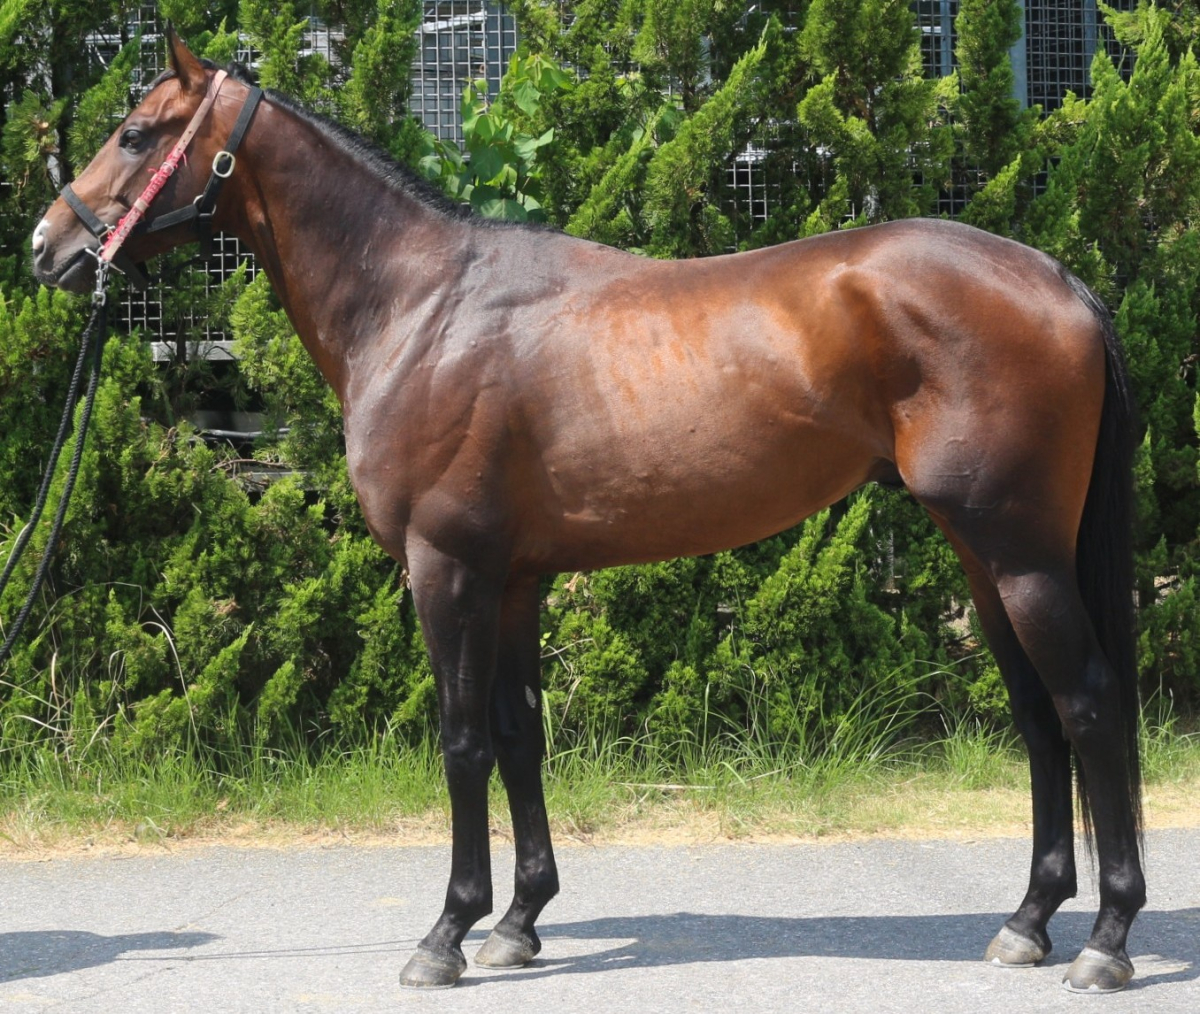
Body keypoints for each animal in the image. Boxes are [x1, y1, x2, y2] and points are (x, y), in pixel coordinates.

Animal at [30, 30, 1144, 994]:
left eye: (137, 130)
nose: (47, 245)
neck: (423, 309)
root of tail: (1059, 281)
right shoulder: (514, 579)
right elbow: (521, 735)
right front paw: (519, 923)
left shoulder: (446, 569)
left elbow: (463, 742)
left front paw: (446, 933)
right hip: (984, 555)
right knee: (1040, 716)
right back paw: (1028, 923)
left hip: (1019, 553)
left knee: (1090, 705)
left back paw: (1106, 940)